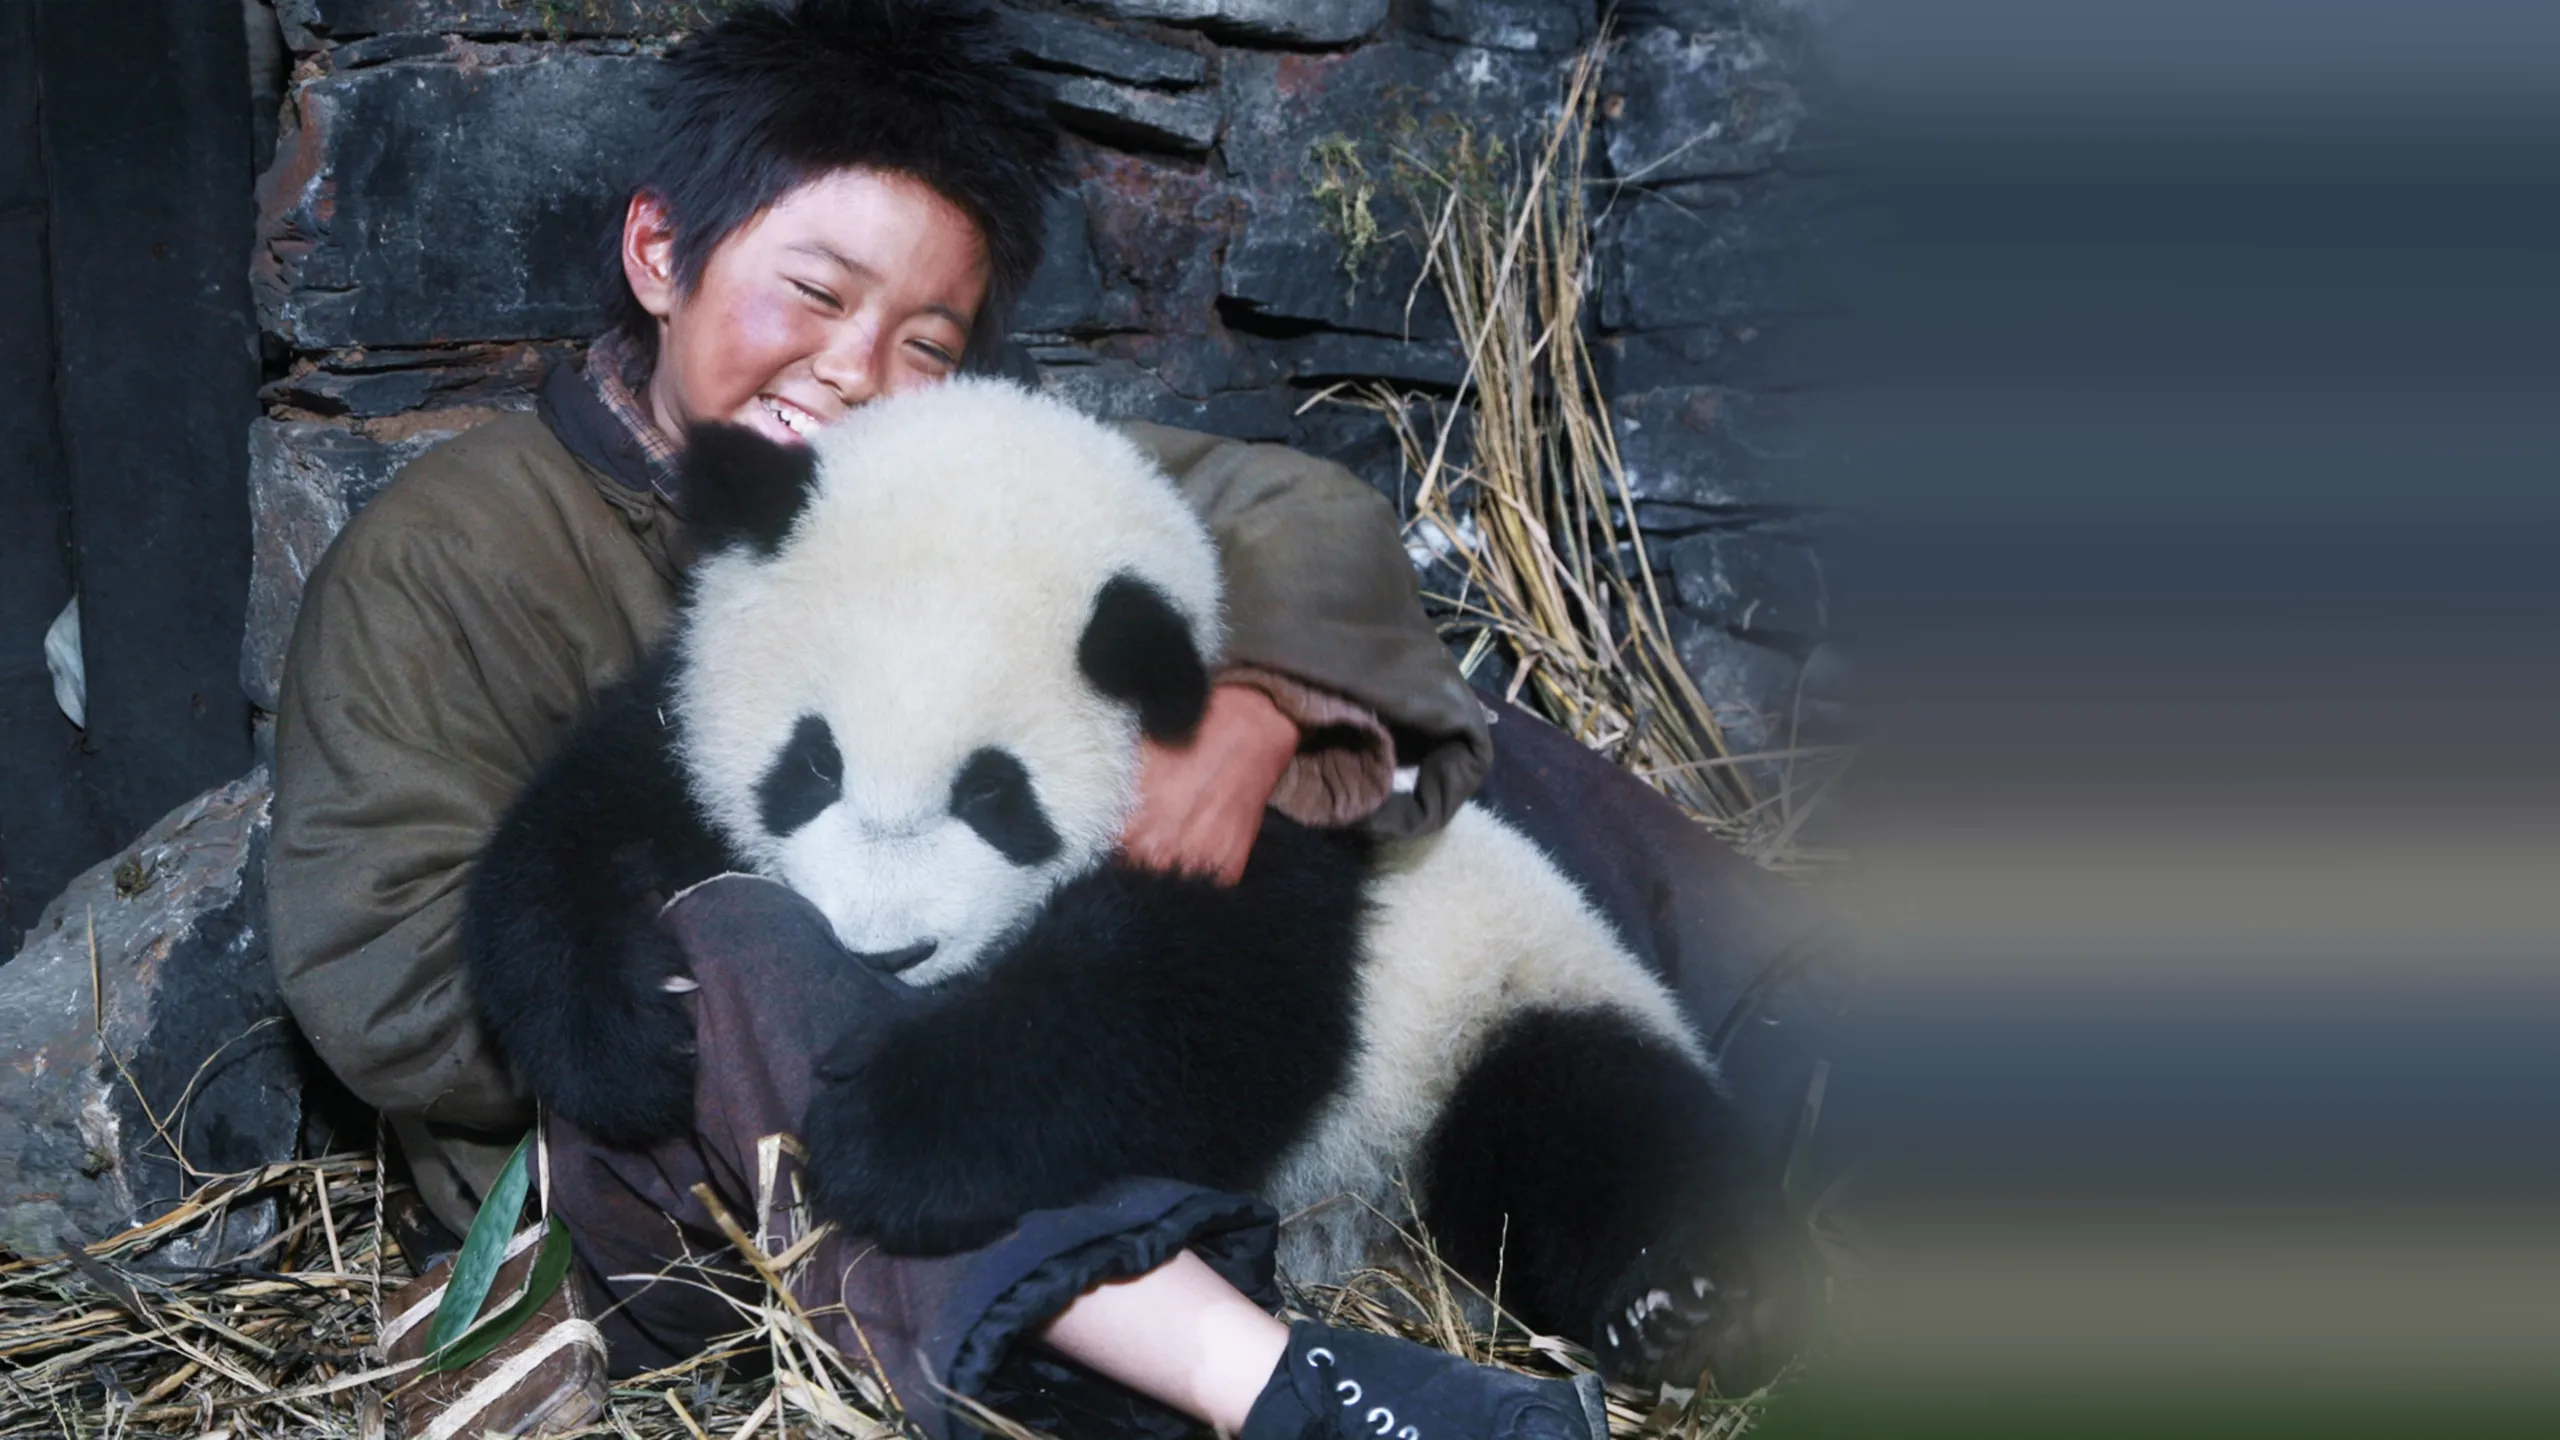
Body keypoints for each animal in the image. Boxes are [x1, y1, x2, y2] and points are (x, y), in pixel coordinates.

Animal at [464, 378, 1781, 1393]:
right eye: (813, 762)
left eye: (996, 795)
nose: (883, 953)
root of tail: (1370, 1231)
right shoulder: (679, 730)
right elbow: (583, 829)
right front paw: (624, 1038)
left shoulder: (1260, 827)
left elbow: (1188, 1020)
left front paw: (890, 1136)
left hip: (1498, 992)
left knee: (1580, 1115)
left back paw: (1678, 1304)